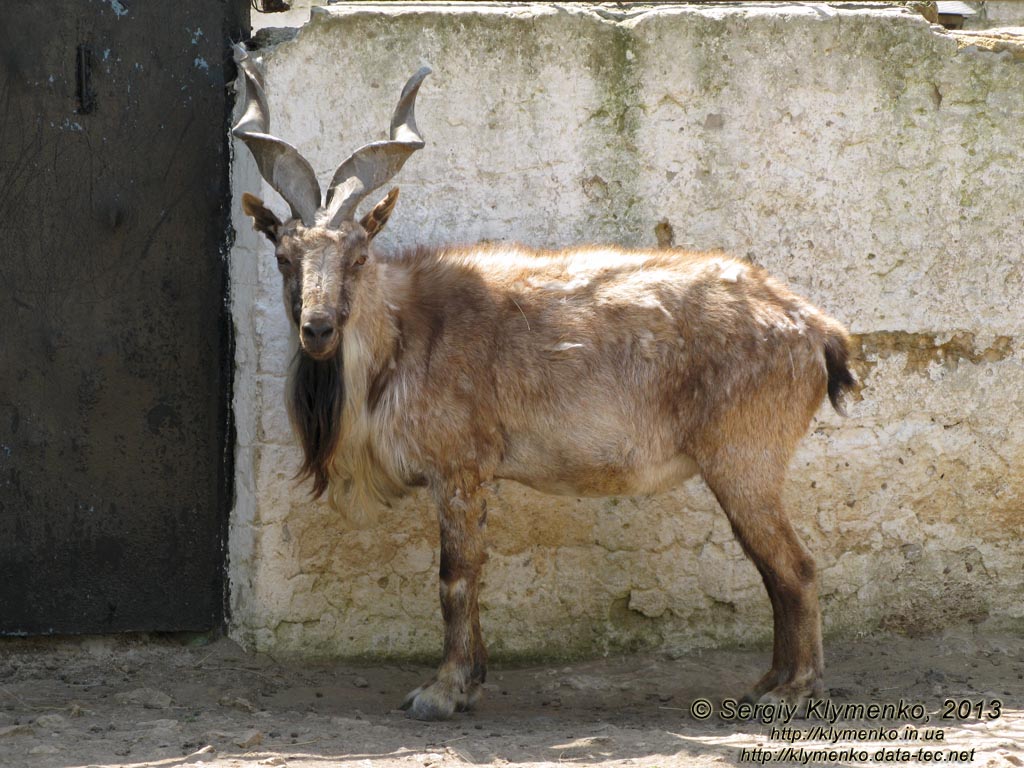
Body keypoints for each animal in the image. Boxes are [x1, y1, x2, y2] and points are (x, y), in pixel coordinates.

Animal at [232, 46, 856, 720]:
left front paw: (442, 691)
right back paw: (769, 682)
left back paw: (796, 689)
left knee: (796, 567)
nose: (317, 329)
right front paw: (473, 679)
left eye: (358, 255)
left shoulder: (458, 468)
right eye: (284, 255)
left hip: (746, 459)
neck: (404, 336)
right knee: (775, 569)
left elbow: (455, 577)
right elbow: (472, 572)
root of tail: (814, 327)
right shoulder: (471, 476)